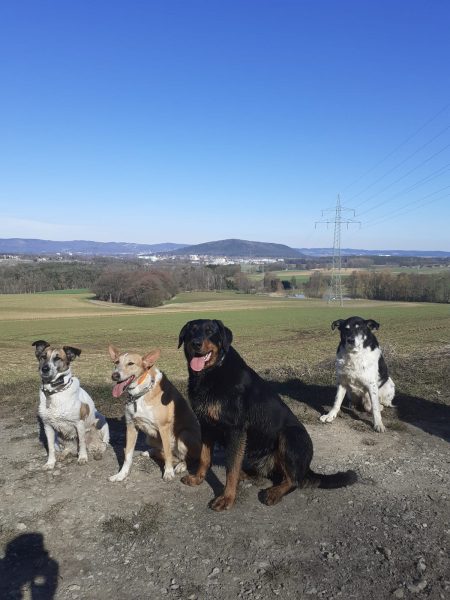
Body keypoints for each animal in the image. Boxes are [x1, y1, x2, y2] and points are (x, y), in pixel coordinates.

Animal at [33, 340, 110, 469]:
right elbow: (50, 448)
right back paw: (64, 454)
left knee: (101, 445)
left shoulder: (79, 424)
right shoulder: (48, 426)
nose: (45, 369)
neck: (55, 392)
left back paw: (97, 453)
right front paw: (50, 463)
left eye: (57, 358)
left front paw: (82, 458)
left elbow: (82, 443)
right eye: (43, 357)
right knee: (68, 448)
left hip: (102, 426)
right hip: (59, 438)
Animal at [108, 346, 201, 482]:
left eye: (130, 363)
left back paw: (181, 466)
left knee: (187, 458)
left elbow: (167, 453)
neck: (141, 393)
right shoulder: (131, 426)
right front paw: (121, 474)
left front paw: (168, 472)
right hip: (150, 438)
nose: (115, 375)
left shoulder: (164, 427)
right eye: (116, 362)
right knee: (166, 453)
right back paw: (150, 452)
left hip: (184, 435)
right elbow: (127, 455)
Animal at [178, 319, 357, 511]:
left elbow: (231, 469)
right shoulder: (205, 425)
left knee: (294, 480)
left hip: (289, 435)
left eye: (210, 331)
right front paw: (198, 478)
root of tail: (307, 468)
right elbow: (205, 457)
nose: (196, 343)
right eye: (191, 331)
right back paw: (247, 475)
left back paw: (273, 493)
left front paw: (227, 498)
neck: (211, 372)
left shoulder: (235, 430)